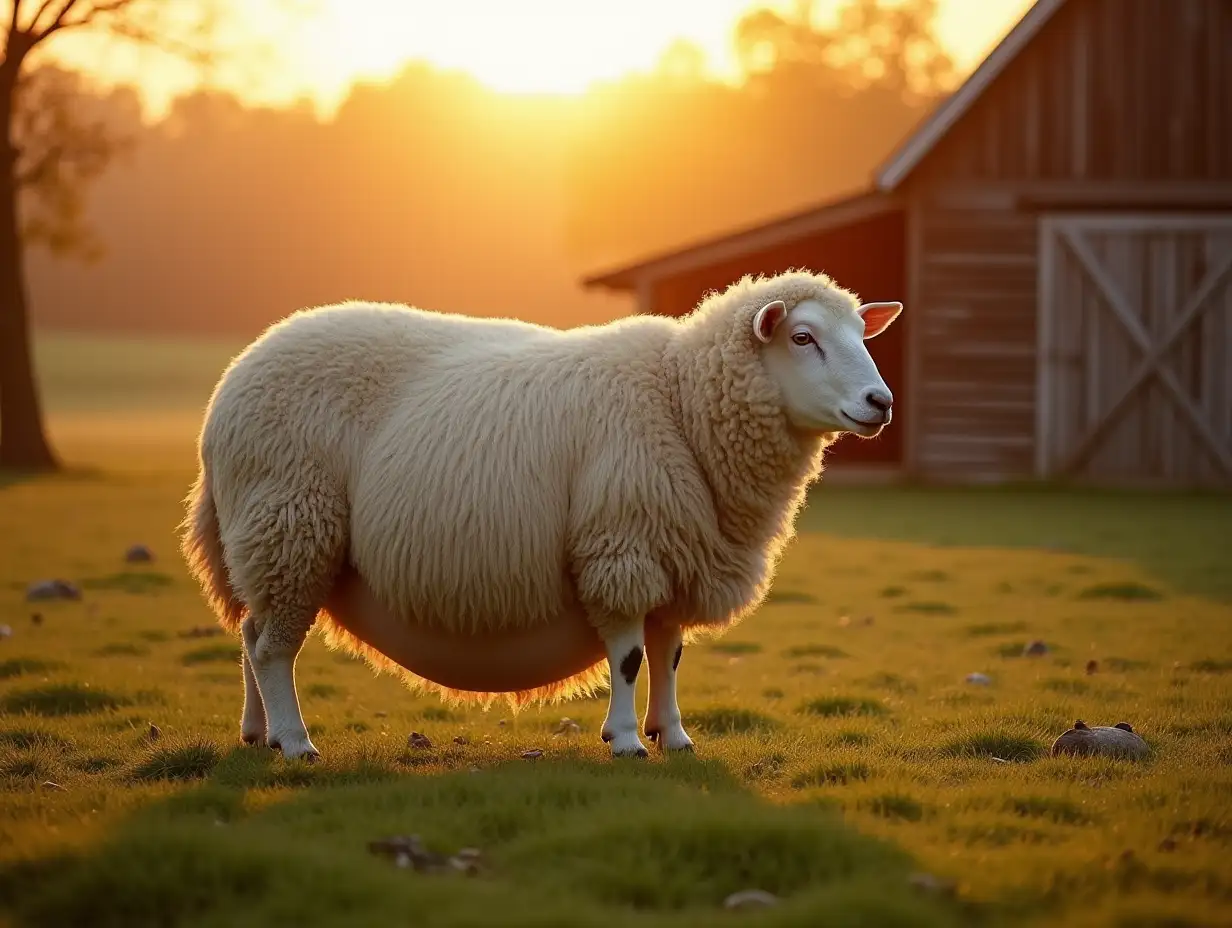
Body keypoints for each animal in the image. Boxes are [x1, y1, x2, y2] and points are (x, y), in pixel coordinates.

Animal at [178, 267, 901, 759]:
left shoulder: (676, 553)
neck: (679, 399)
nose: (881, 402)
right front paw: (625, 740)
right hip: (291, 526)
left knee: (251, 636)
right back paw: (296, 741)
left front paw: (673, 735)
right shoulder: (621, 545)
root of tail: (228, 388)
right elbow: (629, 655)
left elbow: (668, 655)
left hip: (269, 540)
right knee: (272, 648)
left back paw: (257, 733)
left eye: (861, 333)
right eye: (803, 337)